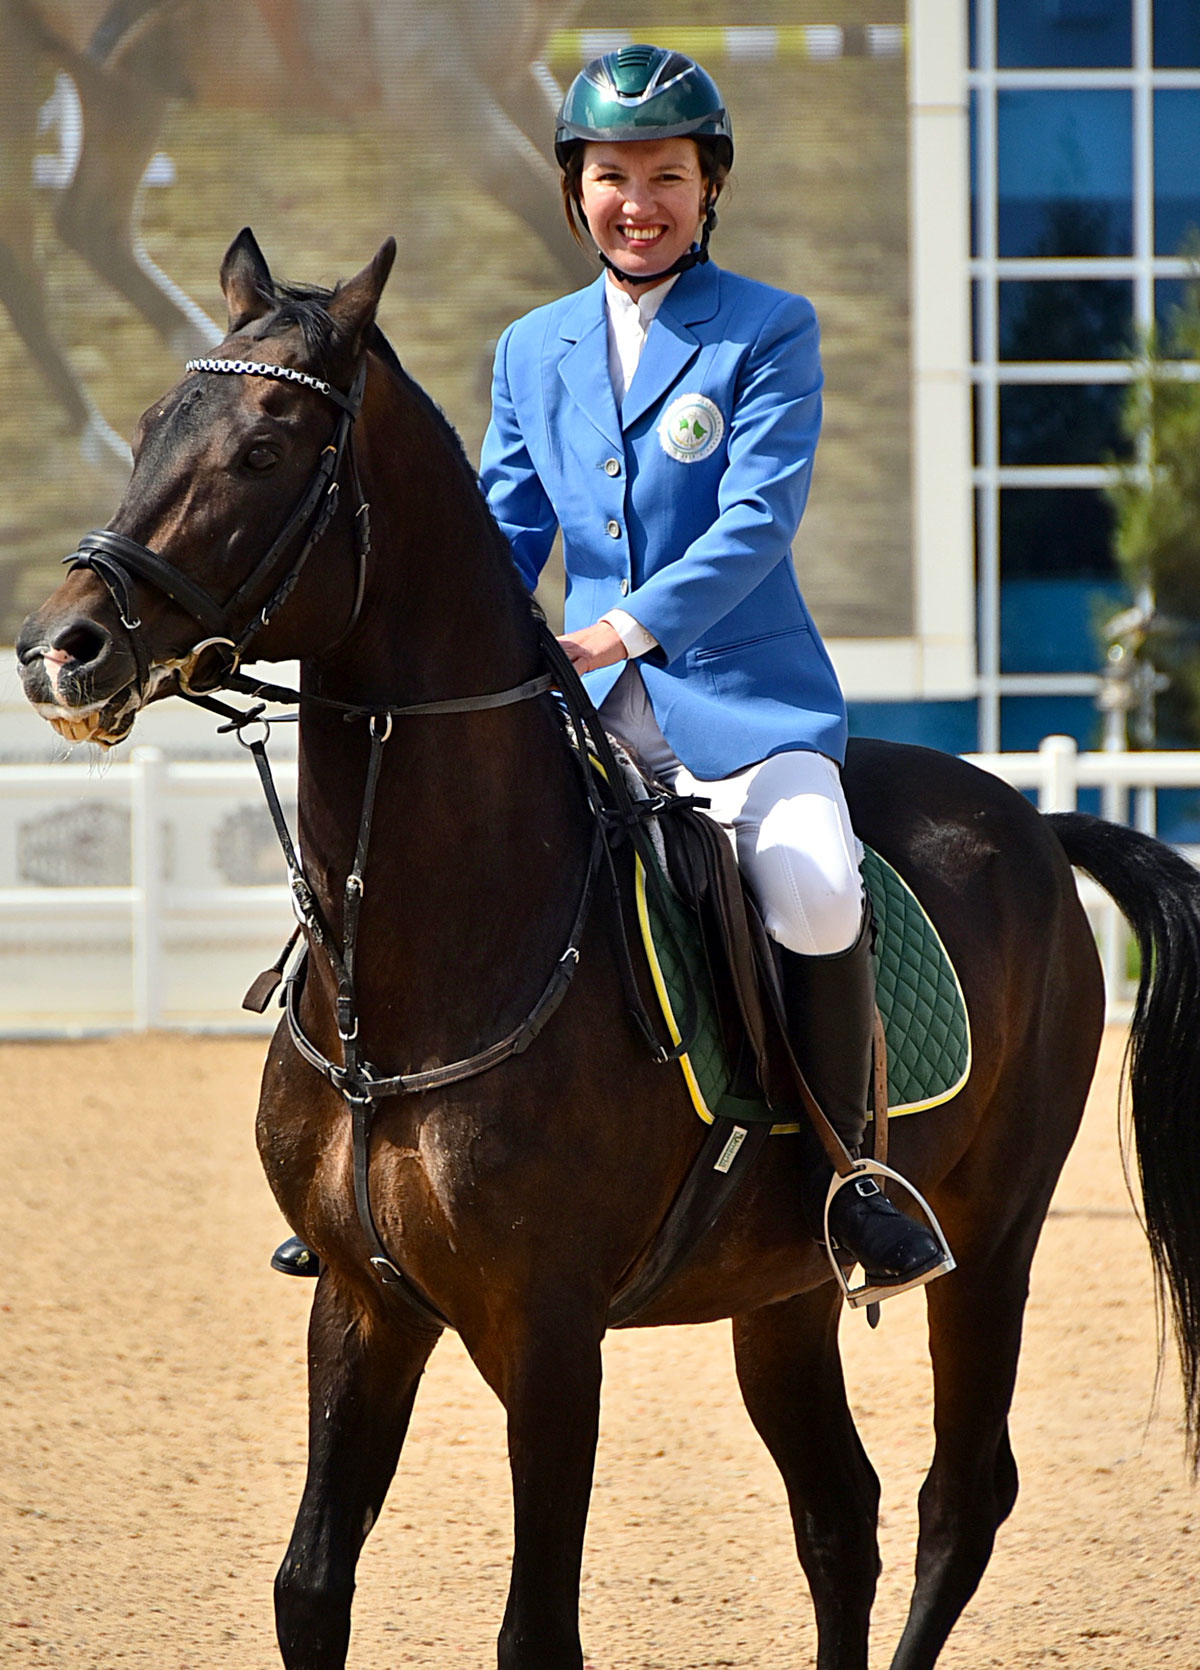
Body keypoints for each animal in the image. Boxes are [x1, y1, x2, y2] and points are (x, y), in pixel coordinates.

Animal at [16, 228, 1200, 1663]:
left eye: (263, 448)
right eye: (147, 428)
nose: (61, 650)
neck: (417, 978)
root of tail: (1031, 821)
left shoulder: (549, 1332)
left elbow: (538, 1626)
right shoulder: (359, 1303)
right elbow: (309, 1586)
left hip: (995, 1236)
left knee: (956, 1499)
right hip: (783, 1289)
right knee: (841, 1515)